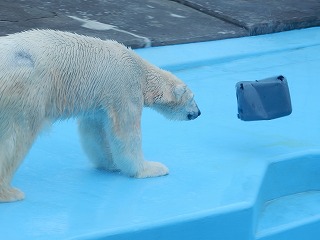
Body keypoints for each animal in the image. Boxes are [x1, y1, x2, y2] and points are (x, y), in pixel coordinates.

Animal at [0, 30, 200, 202]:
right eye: (193, 98)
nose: (199, 112)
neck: (140, 70)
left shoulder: (99, 102)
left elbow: (94, 133)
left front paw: (111, 164)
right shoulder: (125, 89)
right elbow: (126, 134)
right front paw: (150, 168)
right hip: (27, 87)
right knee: (18, 136)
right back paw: (10, 192)